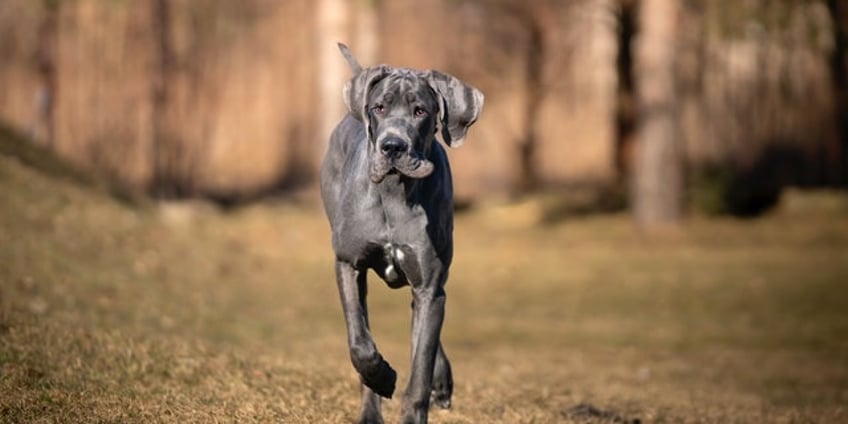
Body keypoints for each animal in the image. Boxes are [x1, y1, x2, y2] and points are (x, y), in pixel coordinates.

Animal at [320, 44, 484, 424]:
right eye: (379, 107)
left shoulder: (428, 282)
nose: (392, 146)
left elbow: (420, 366)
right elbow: (360, 343)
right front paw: (382, 378)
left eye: (420, 111)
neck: (394, 192)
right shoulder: (348, 265)